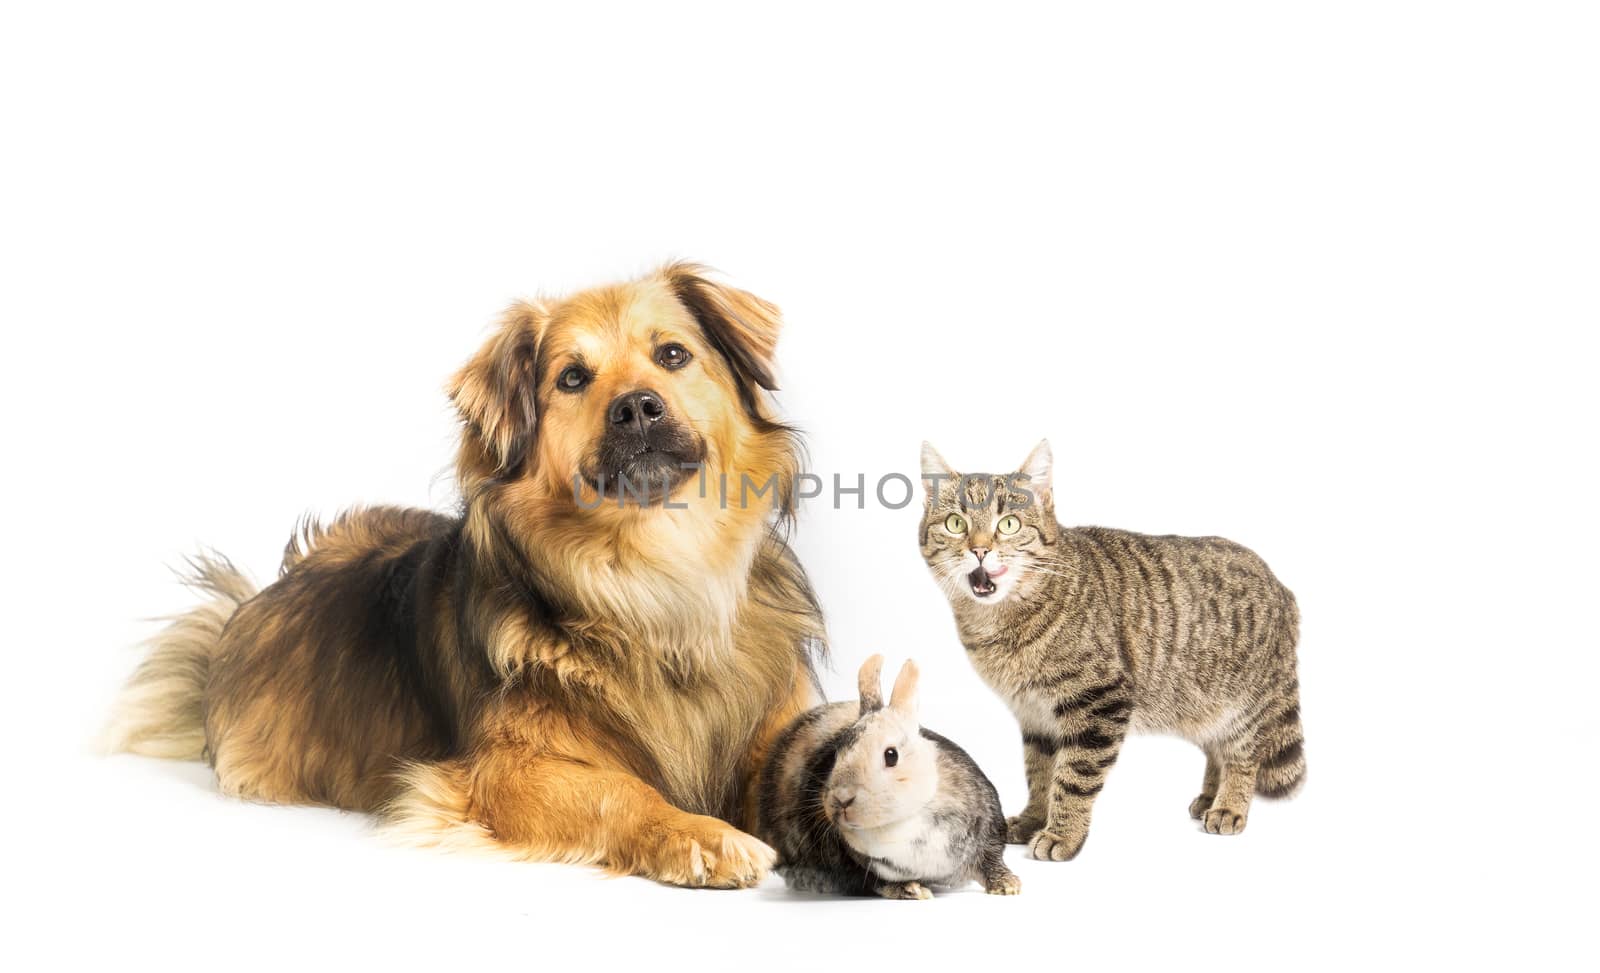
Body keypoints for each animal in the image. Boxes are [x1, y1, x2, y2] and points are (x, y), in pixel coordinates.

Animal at [103, 262, 825, 883]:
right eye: (572, 378)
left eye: (673, 355)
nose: (637, 407)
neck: (653, 576)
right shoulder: (501, 773)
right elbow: (620, 790)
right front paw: (699, 833)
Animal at [755, 652, 1017, 896]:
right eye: (837, 753)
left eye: (891, 755)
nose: (841, 799)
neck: (907, 821)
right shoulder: (861, 868)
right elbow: (878, 883)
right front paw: (911, 890)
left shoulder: (989, 832)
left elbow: (991, 859)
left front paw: (1007, 885)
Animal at [921, 441, 1305, 857]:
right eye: (956, 523)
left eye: (1008, 524)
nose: (979, 550)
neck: (999, 624)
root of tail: (1282, 586)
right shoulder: (1036, 716)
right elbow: (1039, 774)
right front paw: (1034, 818)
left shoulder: (1099, 702)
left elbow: (1073, 777)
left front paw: (1062, 833)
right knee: (1215, 749)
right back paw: (1208, 797)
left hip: (1242, 706)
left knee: (1243, 756)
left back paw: (1229, 805)